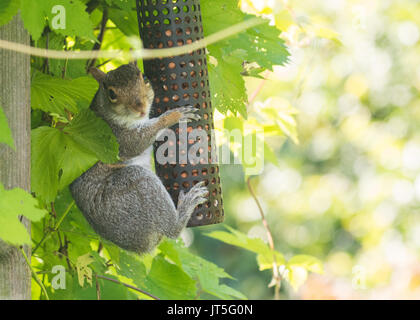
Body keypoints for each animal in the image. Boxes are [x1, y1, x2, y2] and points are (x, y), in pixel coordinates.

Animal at [69, 62, 209, 252]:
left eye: (144, 78)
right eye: (112, 94)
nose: (141, 107)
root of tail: (143, 246)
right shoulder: (117, 138)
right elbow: (138, 141)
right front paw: (174, 116)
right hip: (137, 185)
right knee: (172, 230)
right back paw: (186, 206)